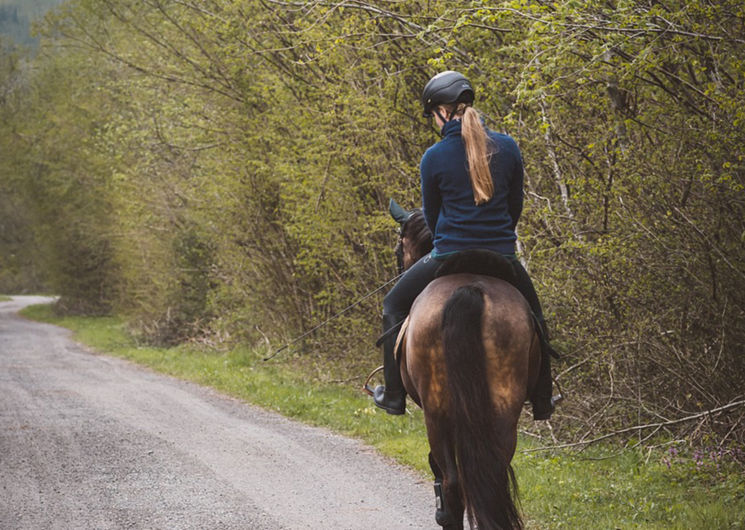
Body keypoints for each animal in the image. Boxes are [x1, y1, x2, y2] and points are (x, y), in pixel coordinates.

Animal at [374, 199, 536, 528]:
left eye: (398, 248)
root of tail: (470, 288)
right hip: (502, 410)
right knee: (493, 475)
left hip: (438, 414)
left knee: (451, 481)